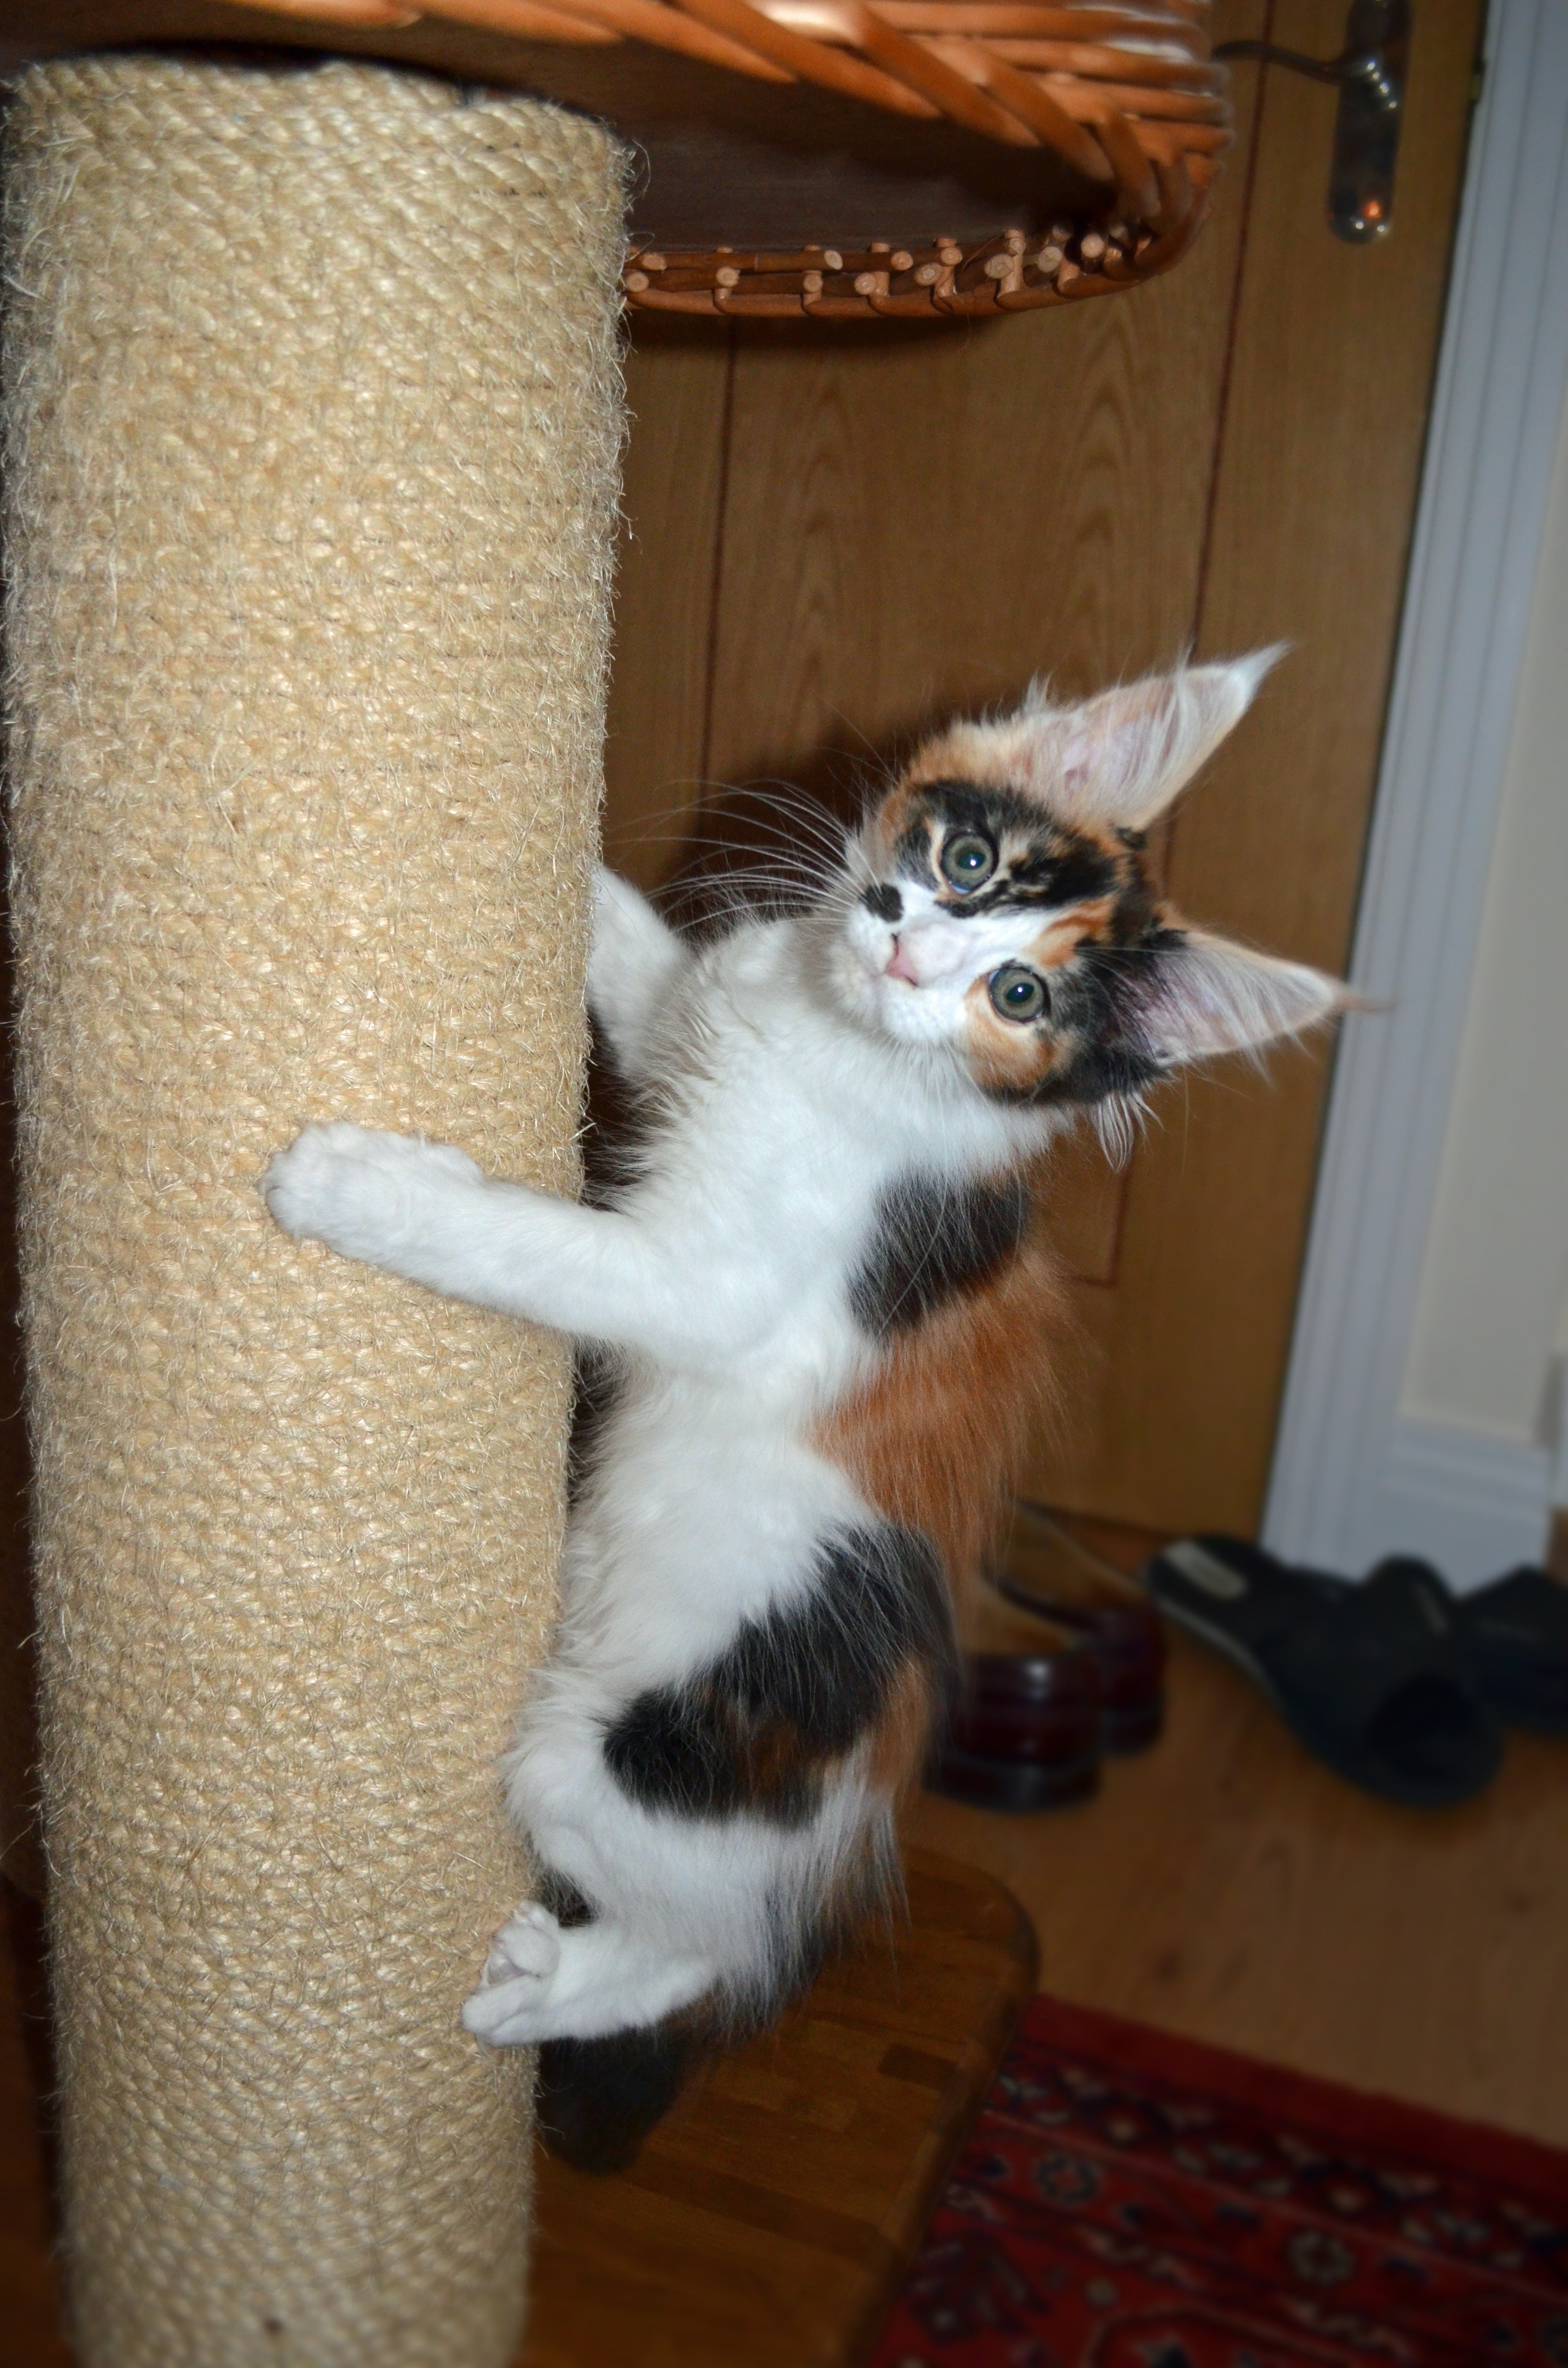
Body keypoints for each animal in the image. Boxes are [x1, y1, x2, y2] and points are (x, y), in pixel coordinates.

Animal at [264, 649, 1345, 2169]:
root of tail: (862, 1802)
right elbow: (636, 946)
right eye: (964, 860)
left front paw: (356, 1189)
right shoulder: (688, 1013)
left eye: (1019, 994)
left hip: (600, 1766)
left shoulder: (710, 1278)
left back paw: (549, 1986)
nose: (906, 951)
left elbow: (539, 1247)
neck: (836, 1033)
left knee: (717, 1944)